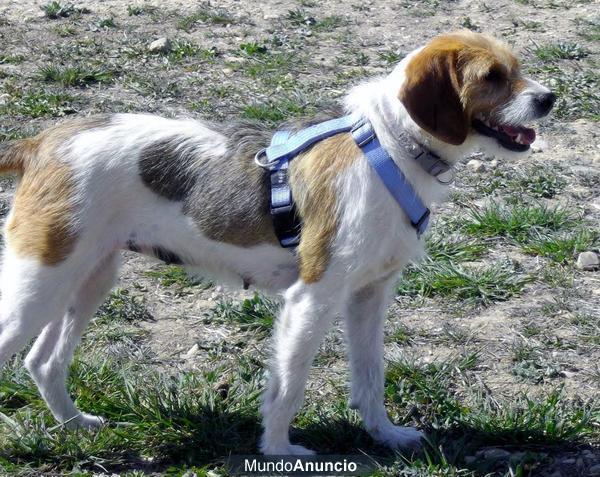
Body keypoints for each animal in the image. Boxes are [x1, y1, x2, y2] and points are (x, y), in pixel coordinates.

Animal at [0, 30, 552, 454]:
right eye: (491, 77)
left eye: (517, 68)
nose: (549, 99)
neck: (392, 146)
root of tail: (41, 143)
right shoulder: (312, 297)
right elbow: (288, 384)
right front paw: (279, 450)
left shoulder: (370, 295)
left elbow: (370, 375)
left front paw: (385, 435)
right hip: (41, 282)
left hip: (86, 277)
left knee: (43, 362)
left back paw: (76, 425)